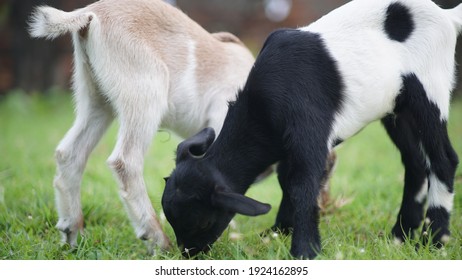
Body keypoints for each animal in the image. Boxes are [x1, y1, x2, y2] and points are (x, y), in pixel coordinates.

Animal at [164, 0, 460, 260]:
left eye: (204, 223)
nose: (190, 254)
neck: (261, 106)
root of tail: (446, 16)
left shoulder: (309, 127)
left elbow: (302, 184)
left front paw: (304, 249)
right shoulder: (287, 144)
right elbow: (286, 179)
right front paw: (279, 232)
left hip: (428, 89)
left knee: (443, 160)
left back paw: (434, 240)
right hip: (396, 109)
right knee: (416, 162)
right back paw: (400, 236)